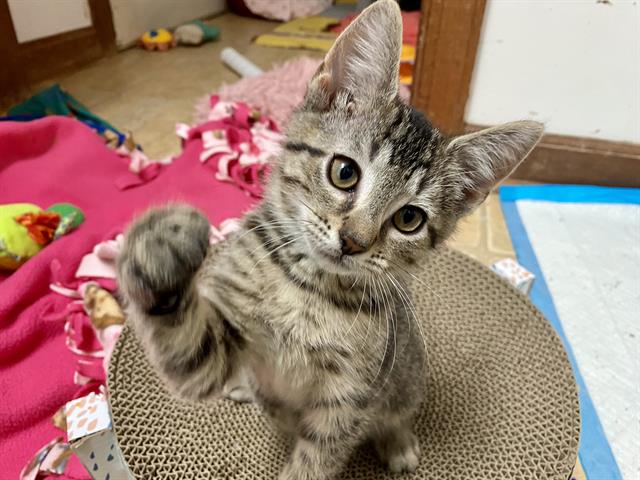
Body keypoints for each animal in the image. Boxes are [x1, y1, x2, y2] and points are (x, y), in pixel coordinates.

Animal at [117, 1, 544, 478]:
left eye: (409, 219)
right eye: (344, 172)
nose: (354, 241)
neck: (307, 288)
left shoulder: (348, 398)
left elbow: (316, 459)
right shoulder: (217, 345)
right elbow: (189, 345)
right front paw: (163, 244)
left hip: (407, 374)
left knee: (396, 413)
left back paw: (398, 443)